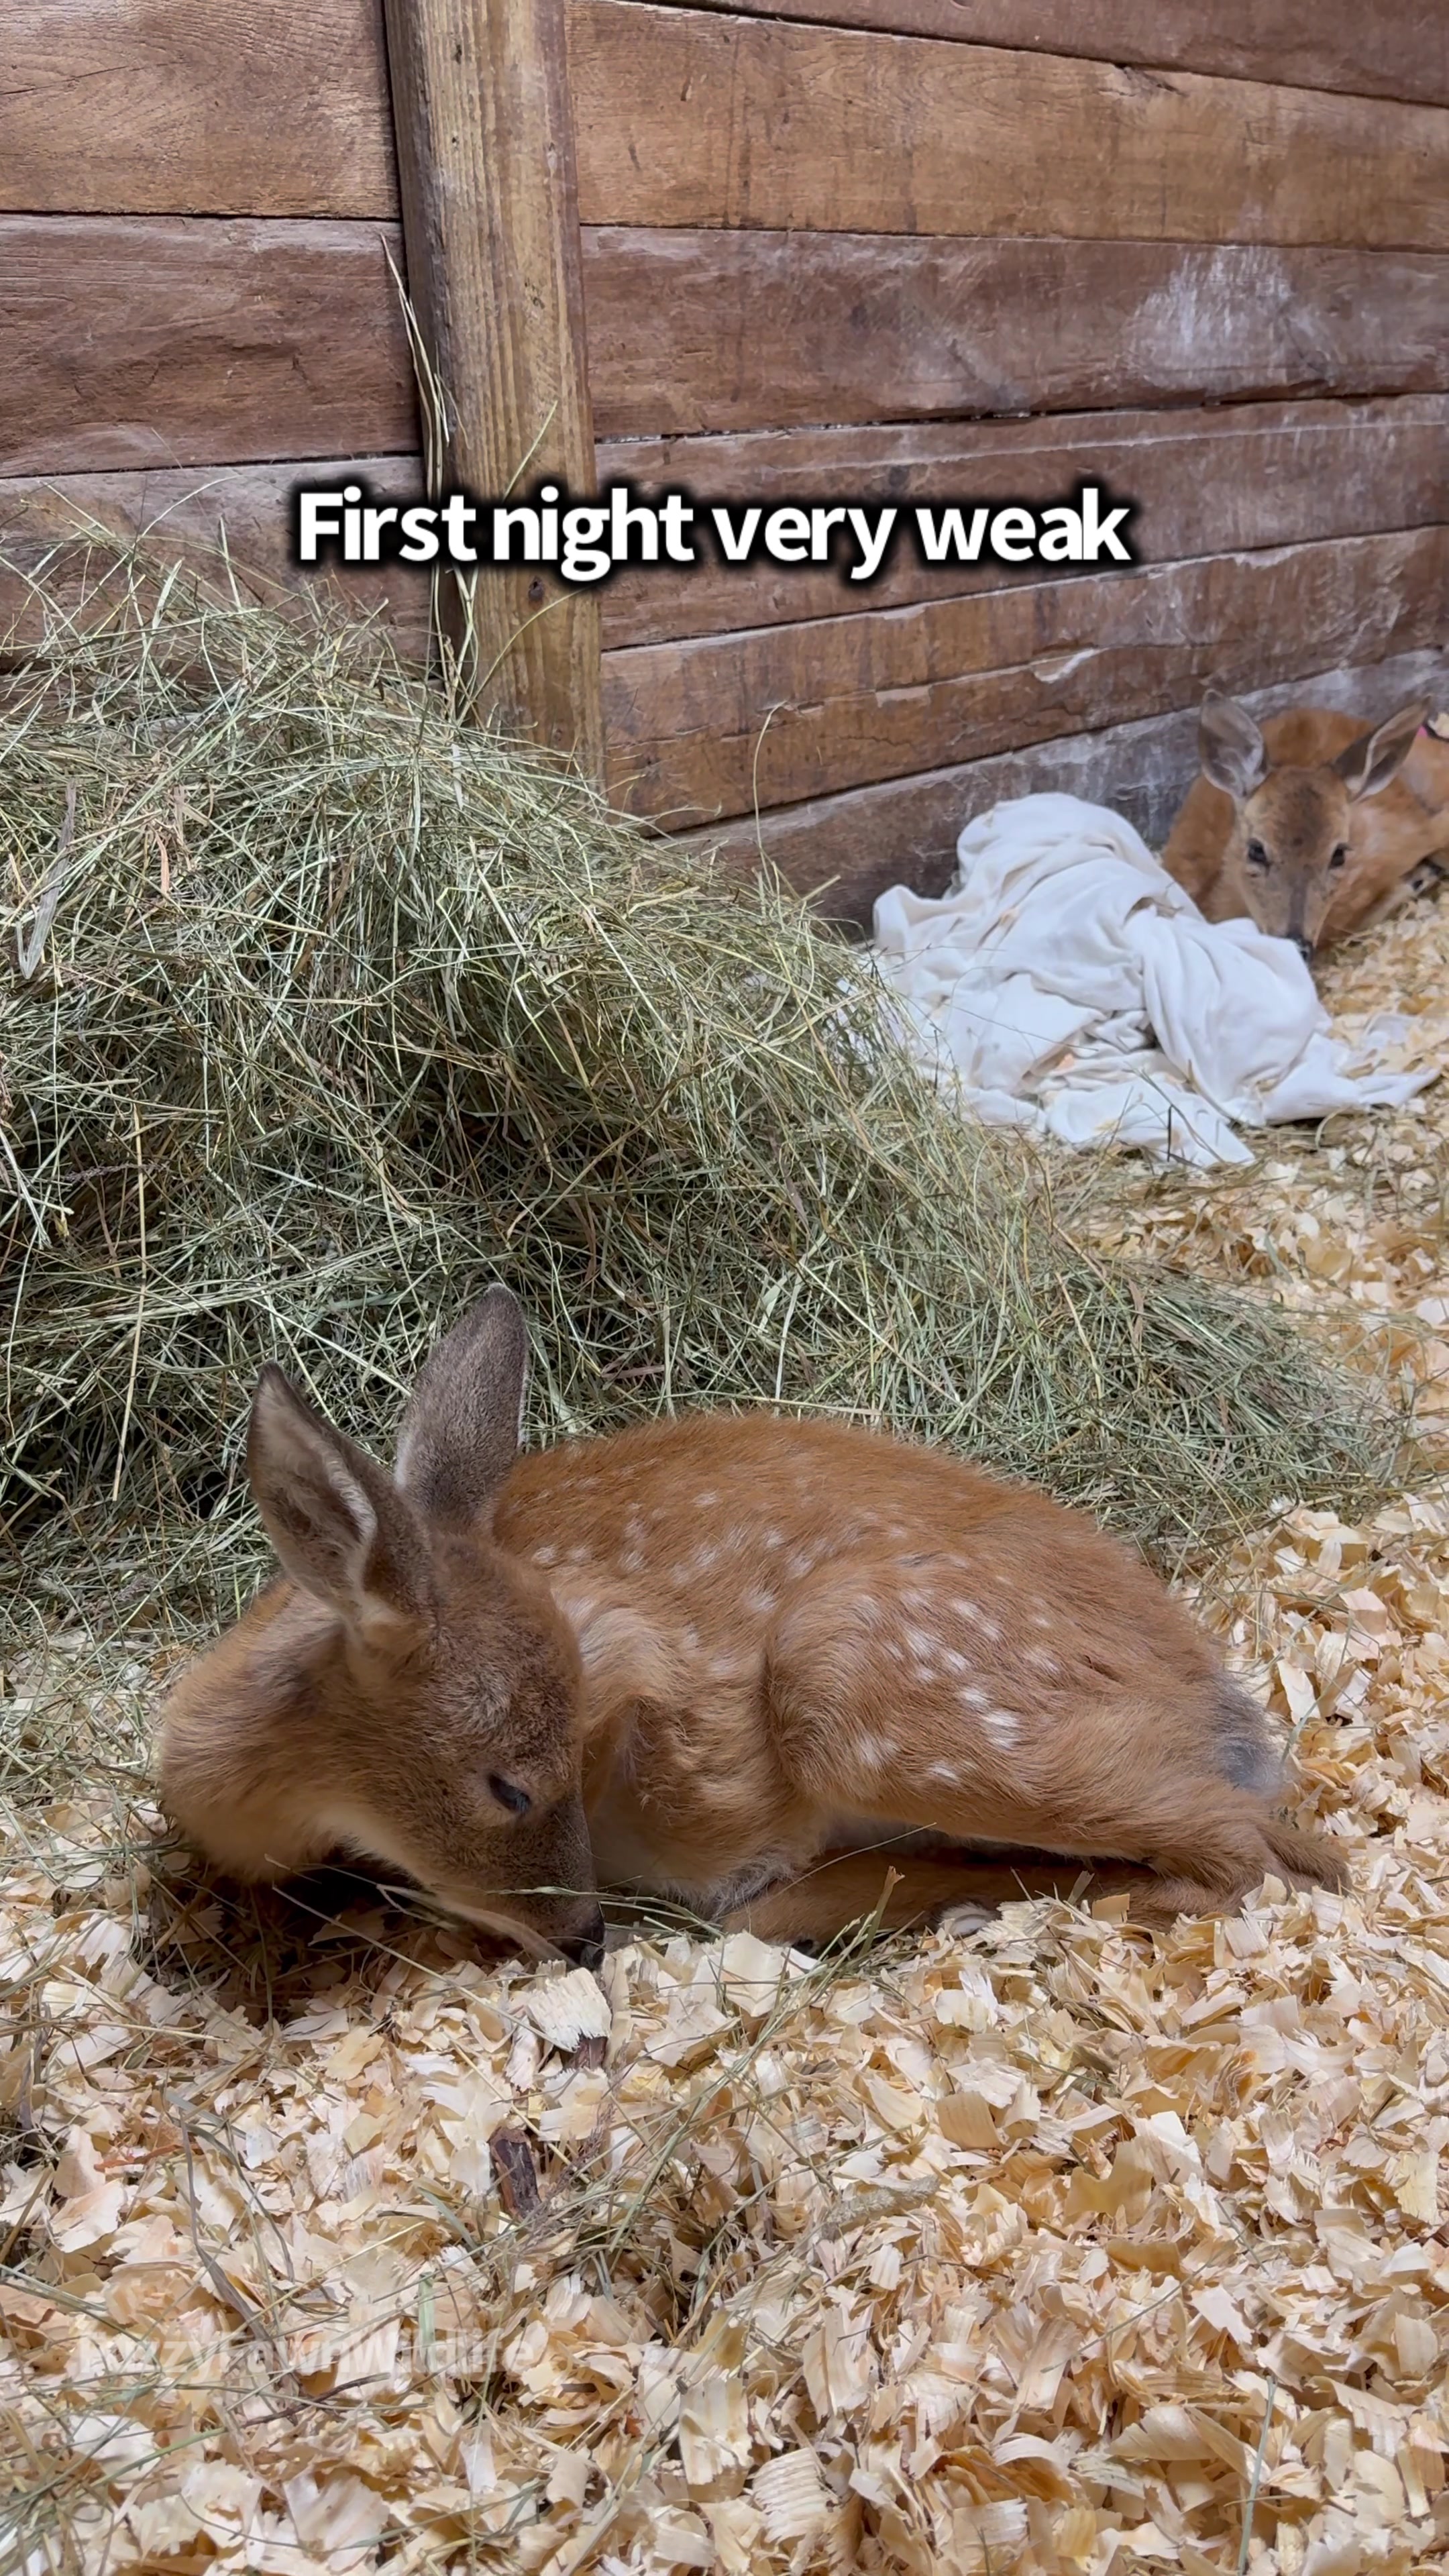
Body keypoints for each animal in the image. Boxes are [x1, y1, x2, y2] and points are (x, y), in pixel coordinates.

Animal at [158, 1287, 1347, 1966]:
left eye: (535, 1776)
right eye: (504, 1787)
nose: (584, 1939)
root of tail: (1228, 1710)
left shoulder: (631, 1644)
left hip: (864, 1674)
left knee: (1252, 1853)